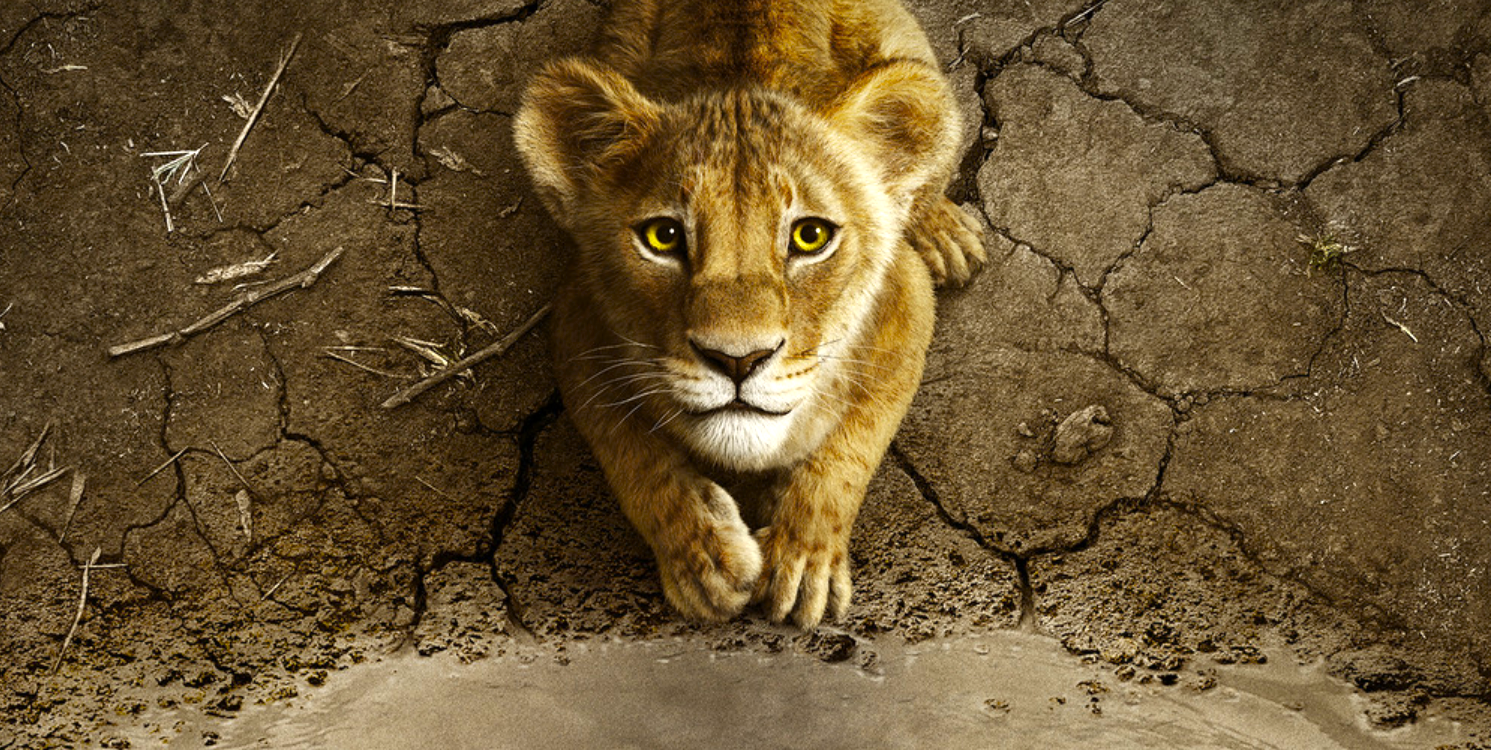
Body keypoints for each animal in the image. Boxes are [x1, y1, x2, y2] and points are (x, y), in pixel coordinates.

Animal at [513, 0, 984, 628]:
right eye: (663, 237)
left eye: (810, 236)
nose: (738, 360)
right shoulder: (576, 323)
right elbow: (633, 456)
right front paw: (703, 559)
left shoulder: (906, 303)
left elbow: (851, 449)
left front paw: (804, 560)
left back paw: (943, 231)